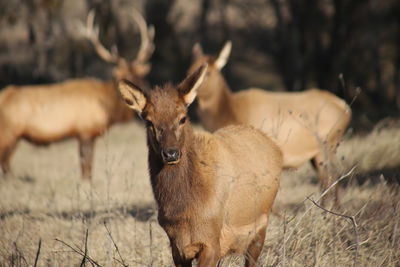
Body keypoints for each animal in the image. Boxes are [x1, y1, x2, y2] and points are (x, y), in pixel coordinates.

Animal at [0, 9, 155, 180]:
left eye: (141, 76)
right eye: (127, 76)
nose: (146, 91)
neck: (106, 108)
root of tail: (3, 96)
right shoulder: (85, 131)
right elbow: (86, 167)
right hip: (8, 132)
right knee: (5, 162)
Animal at [119, 63, 284, 266]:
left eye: (182, 118)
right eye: (149, 121)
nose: (171, 153)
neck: (184, 211)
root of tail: (276, 148)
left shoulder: (212, 242)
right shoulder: (177, 245)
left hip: (261, 224)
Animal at [189, 42, 352, 205]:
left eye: (208, 73)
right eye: (189, 69)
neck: (228, 113)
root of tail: (346, 108)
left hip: (327, 145)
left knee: (330, 178)